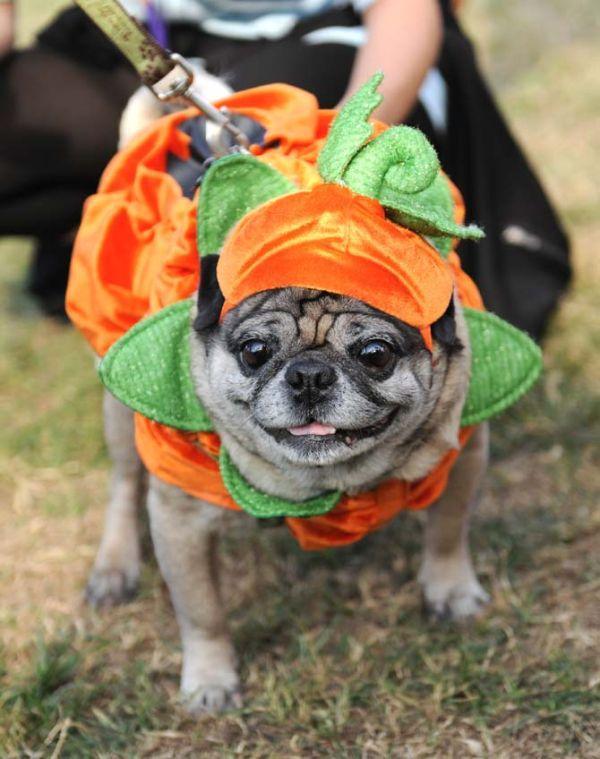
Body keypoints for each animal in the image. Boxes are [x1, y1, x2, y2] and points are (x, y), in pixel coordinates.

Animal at [91, 278, 490, 712]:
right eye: (254, 351)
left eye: (375, 354)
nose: (309, 374)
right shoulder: (181, 517)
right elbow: (202, 611)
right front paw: (210, 681)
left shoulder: (464, 451)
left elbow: (447, 533)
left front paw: (452, 592)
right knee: (125, 483)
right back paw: (114, 568)